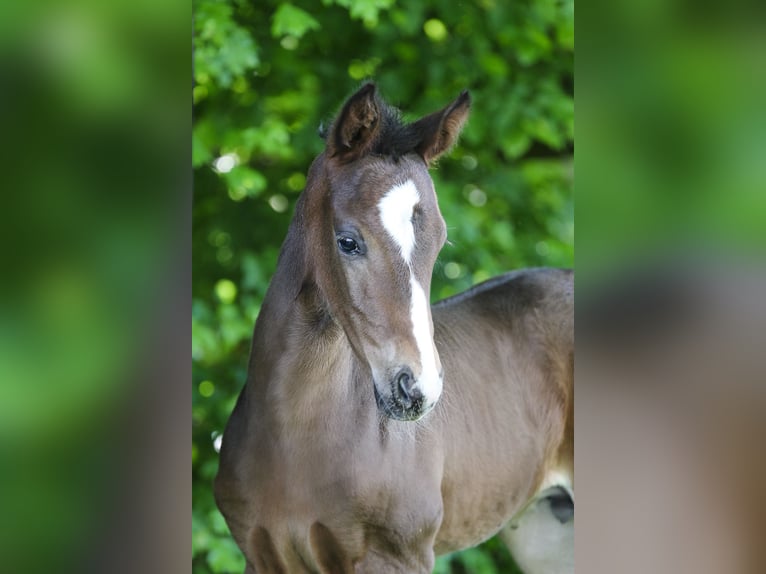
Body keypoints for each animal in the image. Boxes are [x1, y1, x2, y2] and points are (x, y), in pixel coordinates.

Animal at [213, 83, 572, 572]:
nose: (417, 389)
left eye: (440, 242)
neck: (296, 435)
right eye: (348, 241)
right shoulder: (261, 555)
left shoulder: (399, 555)